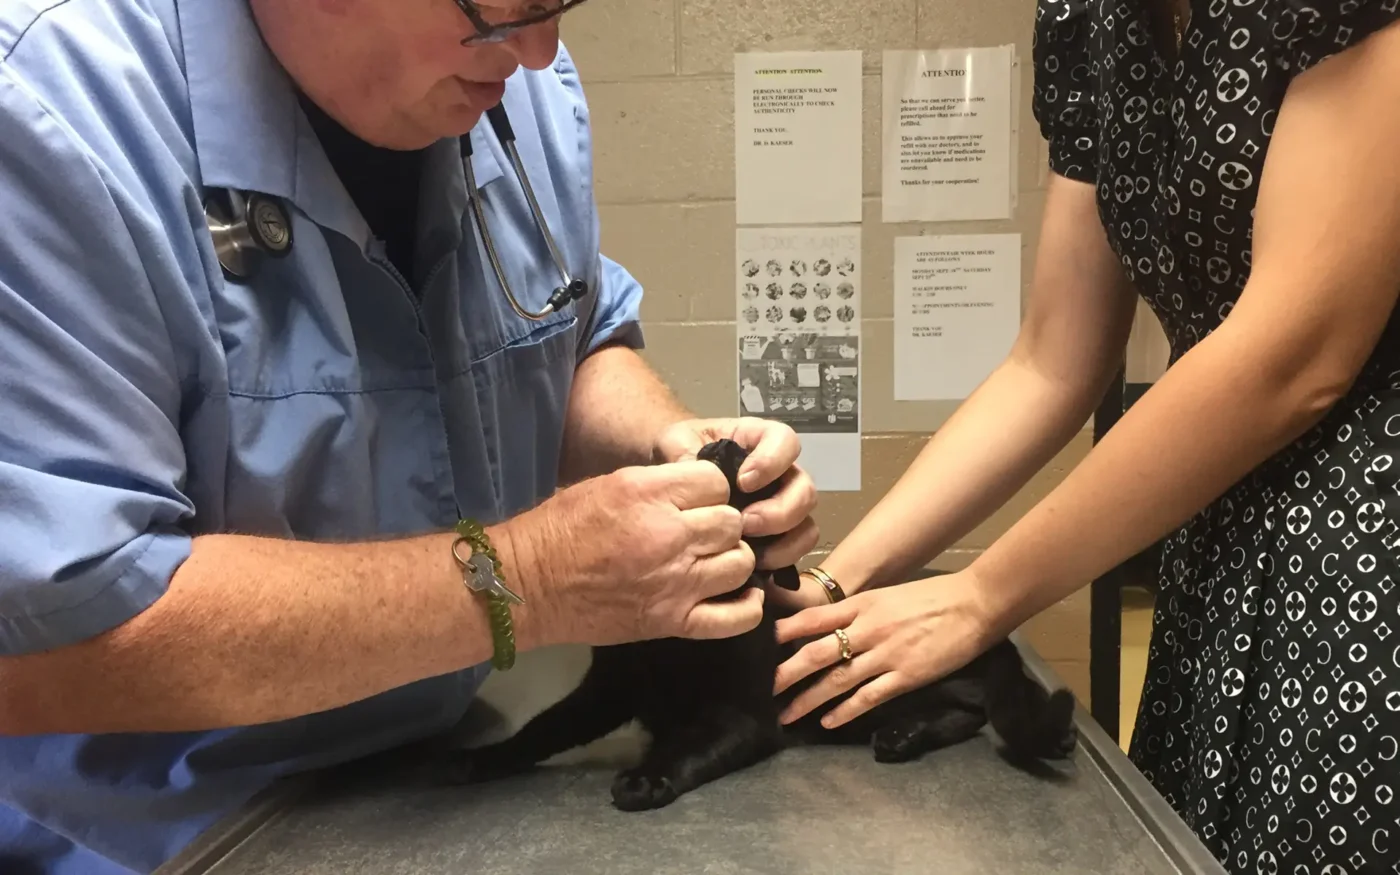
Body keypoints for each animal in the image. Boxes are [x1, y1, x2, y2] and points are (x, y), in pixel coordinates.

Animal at [442, 439, 1075, 806]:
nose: (724, 438)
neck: (673, 639)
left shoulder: (743, 716)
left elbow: (693, 744)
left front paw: (649, 776)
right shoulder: (606, 690)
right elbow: (543, 728)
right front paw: (484, 759)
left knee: (979, 708)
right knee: (967, 712)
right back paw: (904, 737)